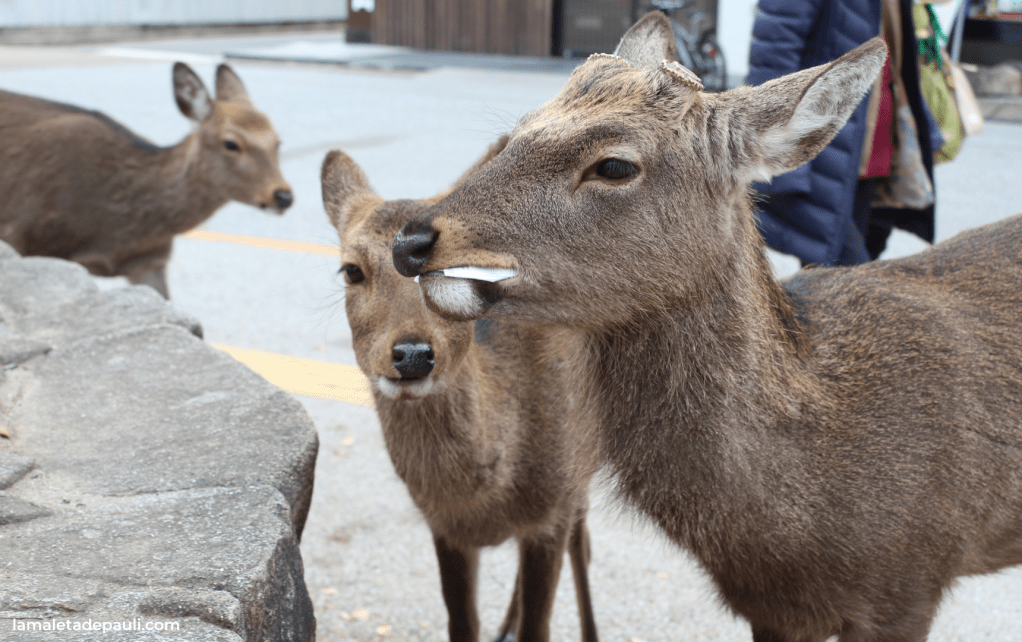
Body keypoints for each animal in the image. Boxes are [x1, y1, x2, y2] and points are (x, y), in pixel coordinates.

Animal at [321, 138, 598, 642]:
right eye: (350, 270)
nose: (412, 354)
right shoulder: (444, 528)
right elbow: (462, 622)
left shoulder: (556, 503)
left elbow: (541, 623)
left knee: (583, 545)